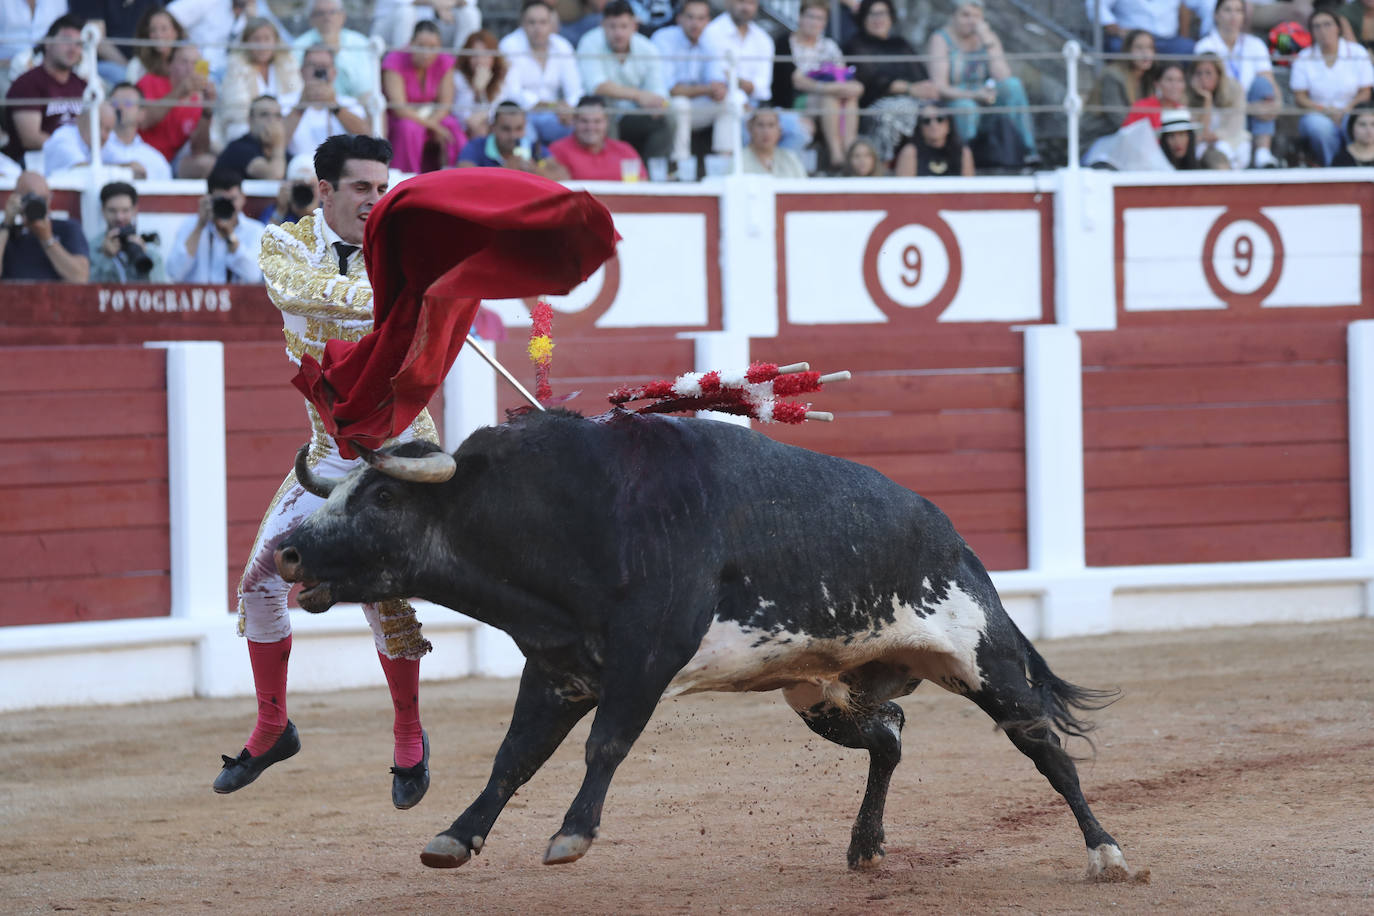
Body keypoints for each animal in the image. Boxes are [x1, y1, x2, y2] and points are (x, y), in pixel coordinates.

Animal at [276, 409, 1137, 878]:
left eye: (381, 498)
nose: (285, 551)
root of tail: (953, 538)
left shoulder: (645, 659)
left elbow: (605, 745)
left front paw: (571, 836)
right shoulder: (557, 667)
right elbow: (514, 756)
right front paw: (455, 837)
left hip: (984, 659)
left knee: (1045, 747)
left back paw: (1107, 853)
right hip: (821, 690)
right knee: (890, 733)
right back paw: (865, 847)